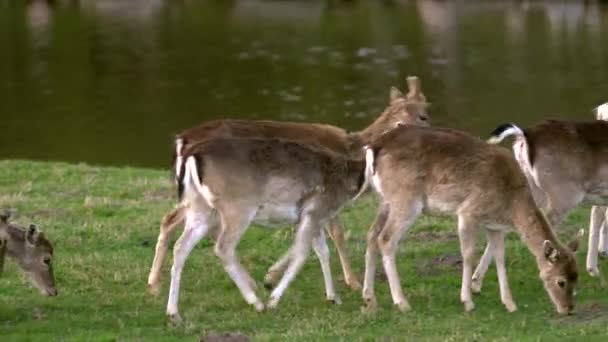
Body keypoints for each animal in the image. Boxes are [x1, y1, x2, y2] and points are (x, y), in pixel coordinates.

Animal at [147, 76, 430, 298]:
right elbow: (337, 234)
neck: (352, 148)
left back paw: (154, 283)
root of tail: (182, 141)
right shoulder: (326, 194)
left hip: (196, 196)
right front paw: (352, 282)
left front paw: (272, 275)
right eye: (424, 114)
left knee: (171, 220)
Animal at [360, 125, 580, 316]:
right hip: (406, 200)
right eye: (561, 281)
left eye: (576, 277)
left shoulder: (494, 226)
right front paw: (467, 301)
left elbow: (500, 257)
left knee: (371, 235)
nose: (568, 309)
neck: (510, 207)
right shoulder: (467, 212)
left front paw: (510, 303)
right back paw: (402, 303)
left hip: (385, 200)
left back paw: (369, 299)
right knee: (385, 239)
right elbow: (468, 254)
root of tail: (374, 147)